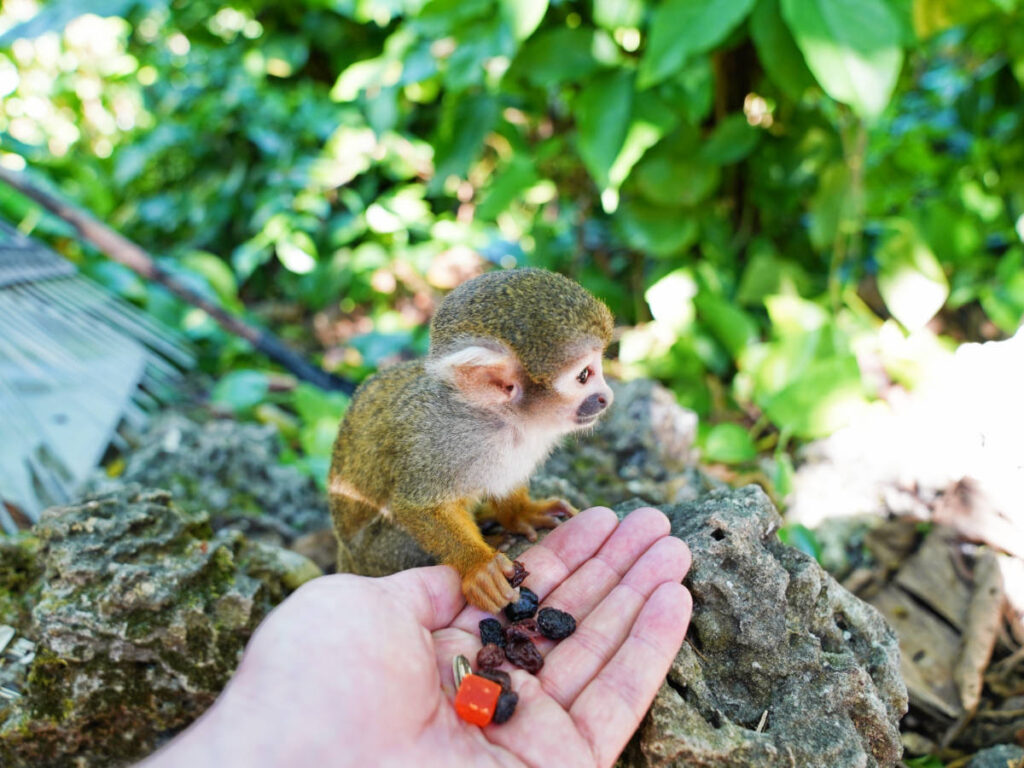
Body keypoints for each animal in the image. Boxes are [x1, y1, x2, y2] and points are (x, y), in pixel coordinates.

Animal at [327, 268, 615, 613]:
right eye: (584, 375)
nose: (607, 397)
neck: (503, 421)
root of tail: (347, 560)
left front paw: (521, 513)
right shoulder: (438, 438)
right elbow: (415, 505)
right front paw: (479, 566)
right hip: (379, 554)